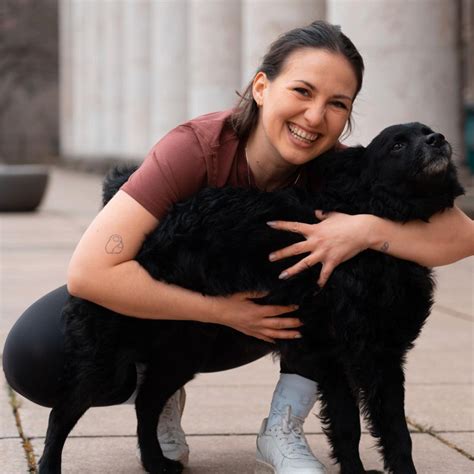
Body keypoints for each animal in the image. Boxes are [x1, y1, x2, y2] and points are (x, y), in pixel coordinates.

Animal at [39, 123, 462, 474]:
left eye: (424, 129)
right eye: (397, 144)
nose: (439, 138)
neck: (369, 219)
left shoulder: (374, 356)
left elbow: (385, 432)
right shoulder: (342, 355)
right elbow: (359, 427)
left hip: (181, 352)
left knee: (146, 404)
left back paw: (157, 463)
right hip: (105, 362)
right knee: (62, 413)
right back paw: (50, 466)